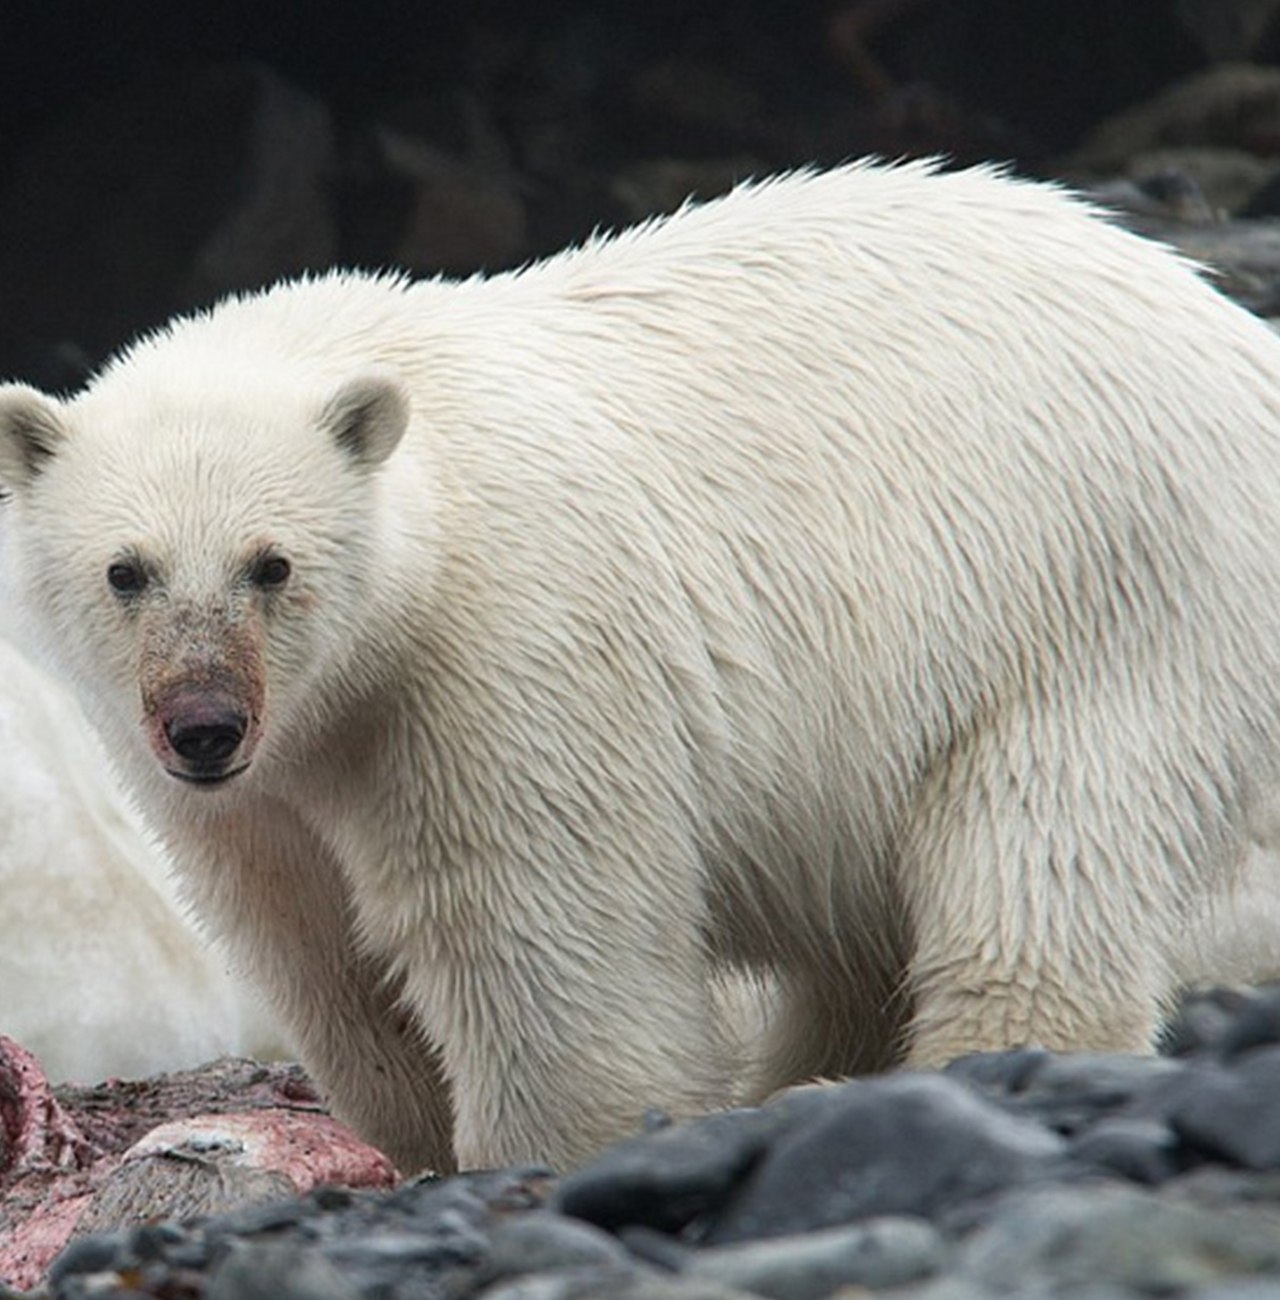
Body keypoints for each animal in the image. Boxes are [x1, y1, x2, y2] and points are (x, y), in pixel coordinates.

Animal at [2, 157, 1278, 1175]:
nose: (204, 725)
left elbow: (538, 931)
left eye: (270, 564)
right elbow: (319, 948)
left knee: (1043, 831)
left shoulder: (502, 654)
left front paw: (557, 1144)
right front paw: (417, 1125)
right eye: (125, 570)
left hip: (1113, 592)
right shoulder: (257, 795)